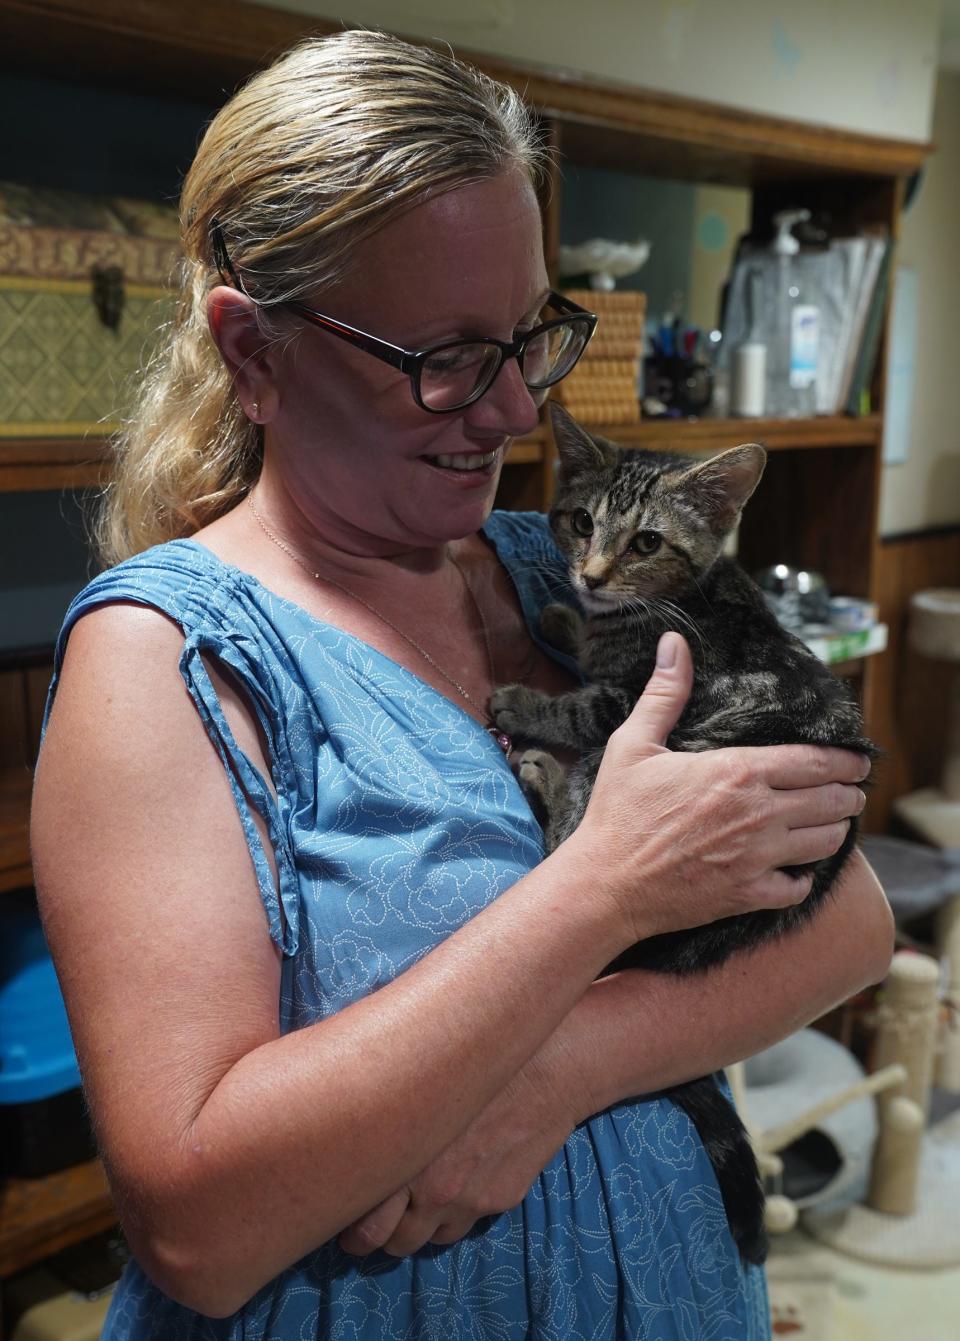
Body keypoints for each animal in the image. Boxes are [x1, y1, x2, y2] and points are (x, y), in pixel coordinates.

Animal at [490, 402, 874, 1260]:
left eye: (646, 542)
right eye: (581, 521)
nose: (592, 576)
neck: (685, 598)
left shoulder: (627, 703)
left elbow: (577, 704)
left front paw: (528, 696)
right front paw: (565, 615)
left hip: (626, 763)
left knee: (563, 843)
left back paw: (540, 774)